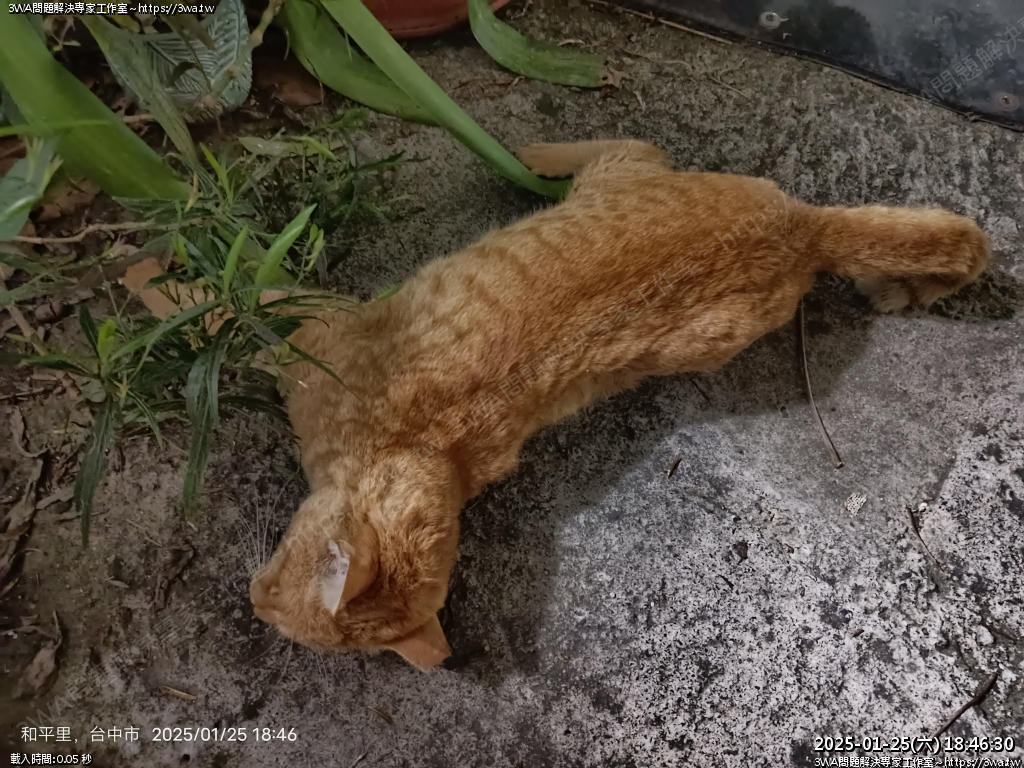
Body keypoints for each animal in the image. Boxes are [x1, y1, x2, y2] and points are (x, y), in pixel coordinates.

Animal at [131, 140, 991, 671]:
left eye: (279, 604)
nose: (250, 597)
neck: (416, 447)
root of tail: (802, 226)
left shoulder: (305, 330)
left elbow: (224, 305)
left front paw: (144, 277)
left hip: (650, 219)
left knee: (628, 138)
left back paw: (534, 154)